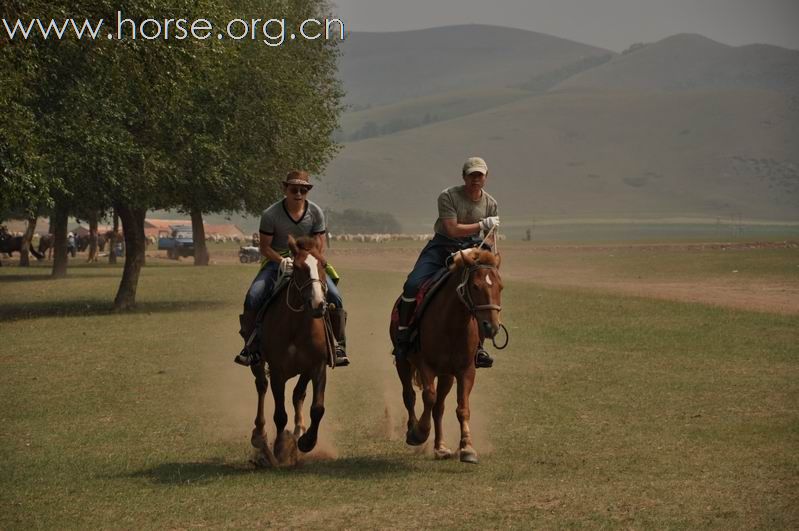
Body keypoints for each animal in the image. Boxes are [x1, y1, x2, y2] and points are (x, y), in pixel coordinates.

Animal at [248, 235, 332, 464]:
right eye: (299, 267)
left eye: (323, 264)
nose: (318, 304)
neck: (296, 324)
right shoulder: (278, 371)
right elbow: (280, 414)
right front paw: (279, 448)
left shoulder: (317, 366)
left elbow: (317, 408)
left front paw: (306, 441)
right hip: (258, 362)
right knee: (261, 386)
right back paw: (260, 434)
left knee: (298, 394)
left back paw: (298, 430)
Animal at [390, 247, 504, 464]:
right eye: (475, 286)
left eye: (500, 287)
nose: (491, 327)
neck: (452, 324)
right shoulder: (425, 365)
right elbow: (428, 397)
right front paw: (419, 433)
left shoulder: (465, 371)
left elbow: (462, 408)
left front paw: (467, 447)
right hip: (403, 363)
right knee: (409, 396)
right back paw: (412, 430)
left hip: (446, 375)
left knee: (439, 408)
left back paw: (441, 447)